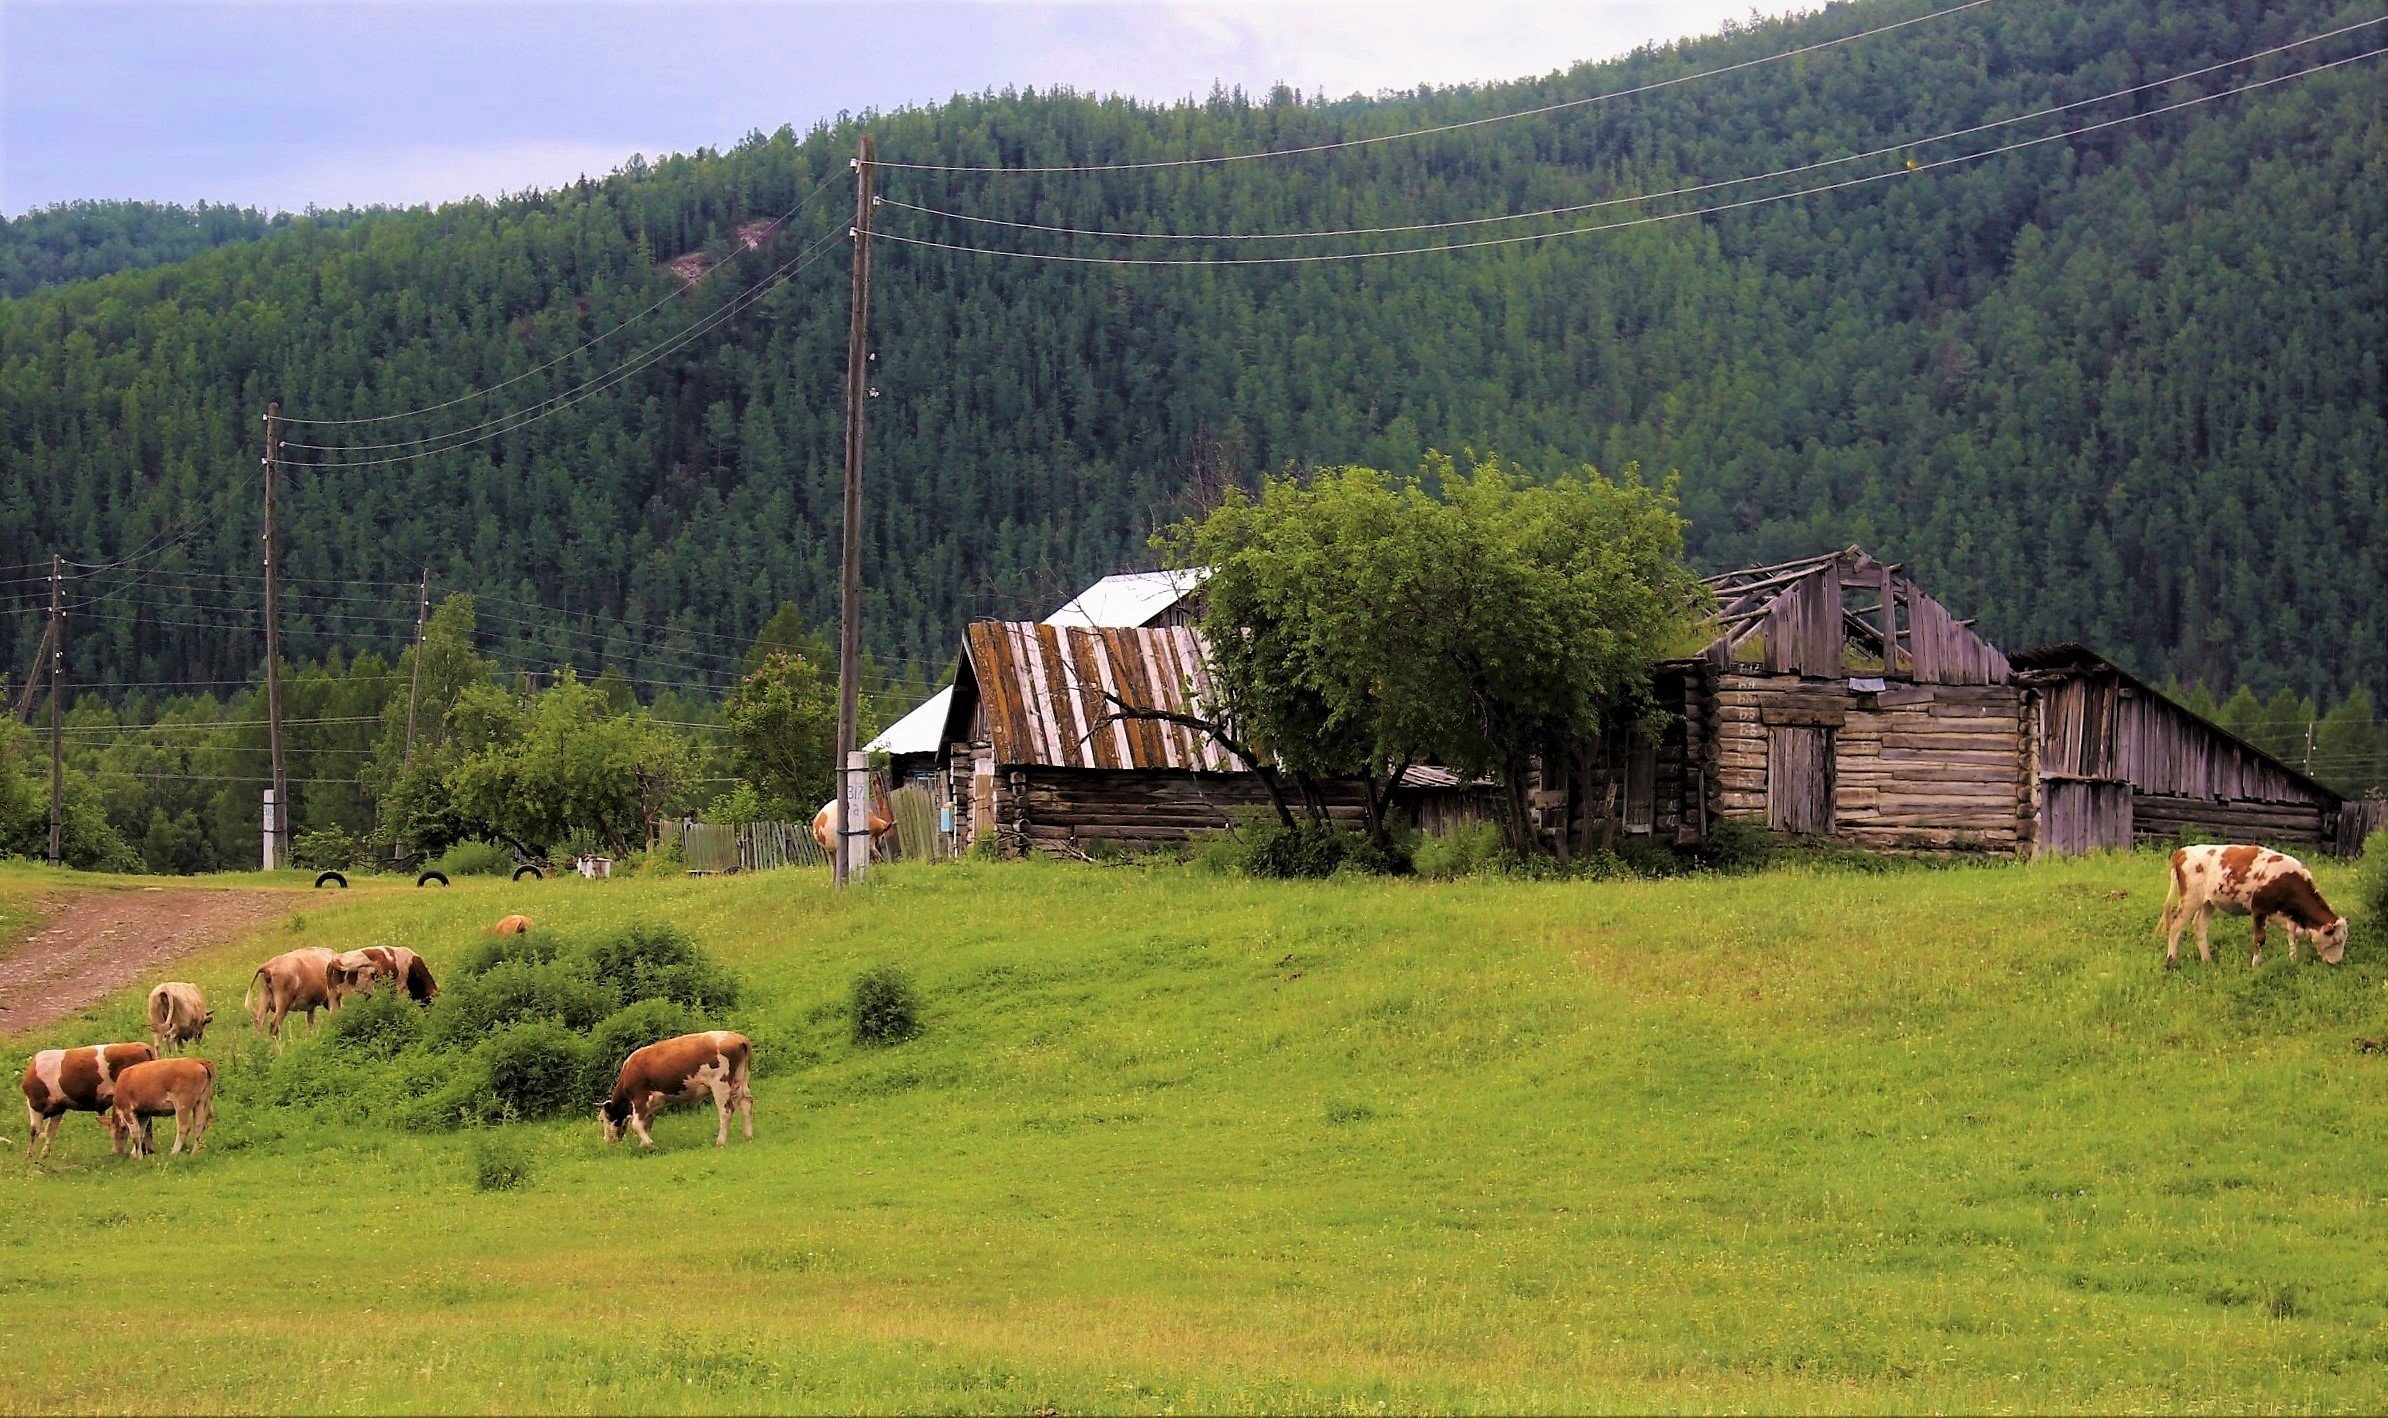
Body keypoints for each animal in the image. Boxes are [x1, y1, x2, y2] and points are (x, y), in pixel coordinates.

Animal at [21, 1045, 158, 1155]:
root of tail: (142, 1046)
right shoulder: (58, 1108)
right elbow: (50, 1130)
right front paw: (44, 1153)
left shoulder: (35, 1104)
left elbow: (34, 1130)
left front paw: (30, 1155)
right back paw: (149, 1150)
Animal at [597, 1026, 754, 1145]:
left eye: (602, 1120)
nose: (606, 1141)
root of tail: (737, 1037)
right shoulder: (654, 1102)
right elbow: (646, 1123)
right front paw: (643, 1144)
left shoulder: (640, 1097)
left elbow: (636, 1124)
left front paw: (649, 1145)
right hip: (740, 1079)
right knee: (746, 1103)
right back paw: (747, 1136)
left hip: (720, 1084)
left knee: (725, 1111)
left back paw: (720, 1142)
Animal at [2158, 845, 2340, 964]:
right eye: (2335, 941)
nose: (2336, 962)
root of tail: (2182, 852)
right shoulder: (2259, 909)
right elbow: (2260, 939)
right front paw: (2256, 965)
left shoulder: (2283, 914)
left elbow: (2291, 934)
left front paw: (2293, 959)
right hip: (2190, 900)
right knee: (2175, 926)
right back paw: (2171, 961)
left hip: (2208, 902)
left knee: (2199, 926)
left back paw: (2207, 960)